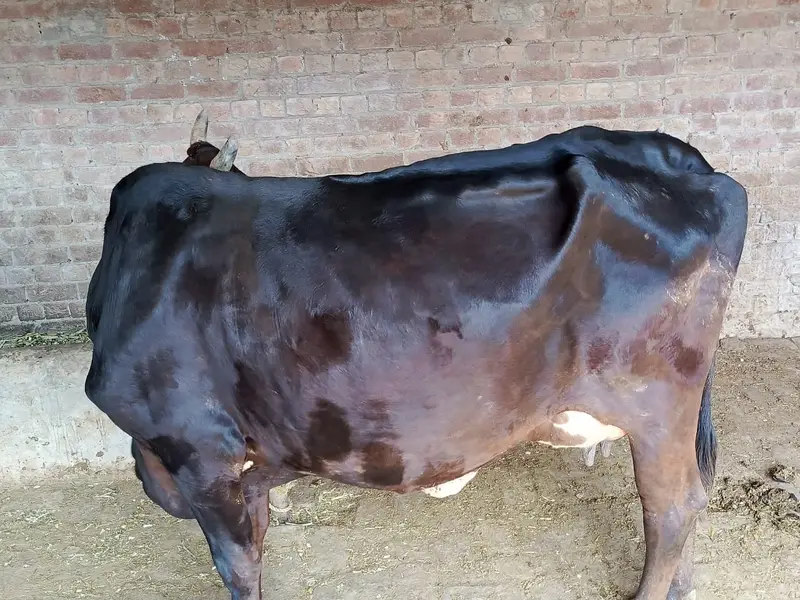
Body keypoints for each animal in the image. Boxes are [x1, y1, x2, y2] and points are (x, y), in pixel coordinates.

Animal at [84, 116, 748, 600]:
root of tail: (699, 171)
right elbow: (259, 526)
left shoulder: (196, 445)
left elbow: (238, 564)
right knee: (687, 505)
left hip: (655, 401)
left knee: (671, 508)